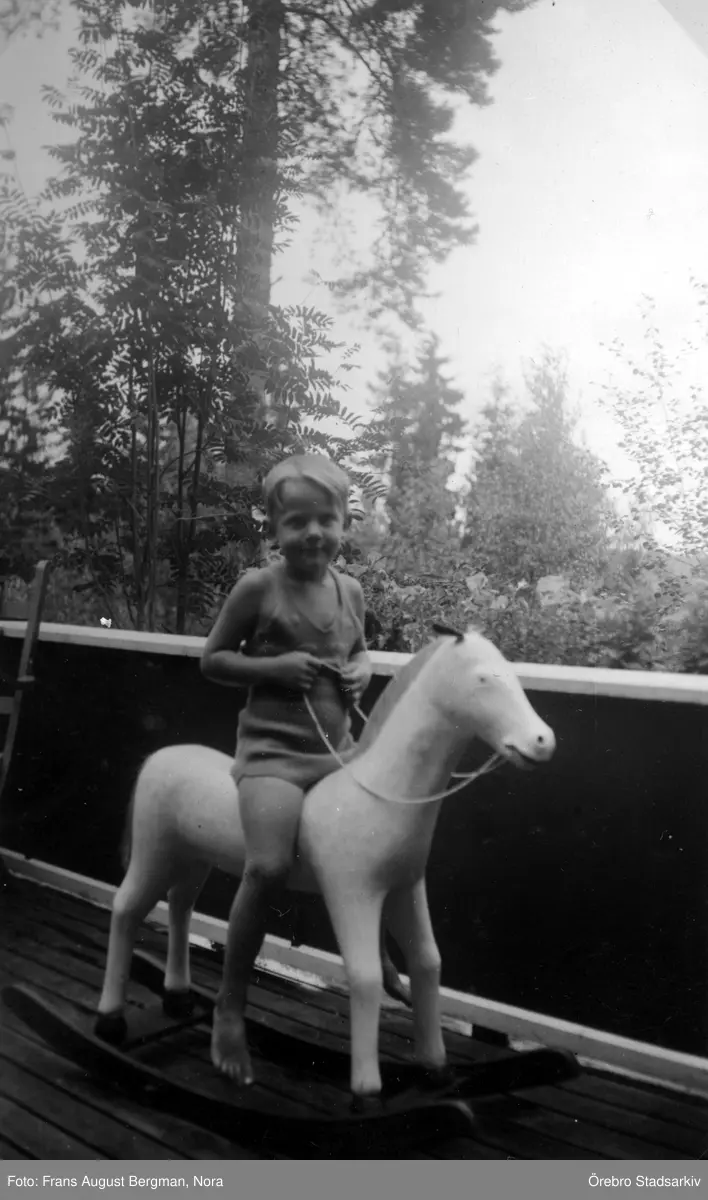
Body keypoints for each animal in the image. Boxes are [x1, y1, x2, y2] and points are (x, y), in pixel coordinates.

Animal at [96, 625, 555, 1099]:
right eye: (483, 679)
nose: (543, 741)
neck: (380, 793)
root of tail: (155, 758)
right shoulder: (352, 892)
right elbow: (366, 976)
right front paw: (367, 1091)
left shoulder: (405, 889)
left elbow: (428, 963)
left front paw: (437, 1068)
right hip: (154, 852)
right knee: (127, 910)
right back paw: (112, 1020)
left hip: (192, 858)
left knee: (180, 907)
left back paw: (178, 995)